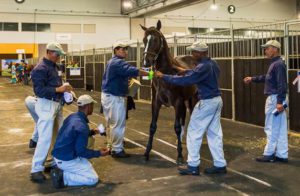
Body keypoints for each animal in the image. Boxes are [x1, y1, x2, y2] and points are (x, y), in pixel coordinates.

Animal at [141, 20, 198, 164]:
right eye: (144, 40)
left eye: (156, 39)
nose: (146, 62)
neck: (167, 73)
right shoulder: (156, 103)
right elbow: (152, 127)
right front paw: (146, 153)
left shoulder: (177, 102)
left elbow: (176, 127)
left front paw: (179, 156)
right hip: (186, 101)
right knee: (184, 120)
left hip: (193, 99)